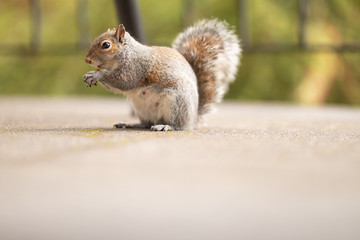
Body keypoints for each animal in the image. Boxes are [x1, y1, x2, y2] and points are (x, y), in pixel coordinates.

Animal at [83, 19, 242, 131]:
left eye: (106, 45)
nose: (87, 60)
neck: (128, 53)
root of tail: (193, 118)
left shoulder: (136, 67)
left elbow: (124, 81)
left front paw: (96, 75)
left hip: (178, 101)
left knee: (179, 126)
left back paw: (166, 126)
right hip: (142, 108)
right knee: (147, 124)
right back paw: (130, 124)